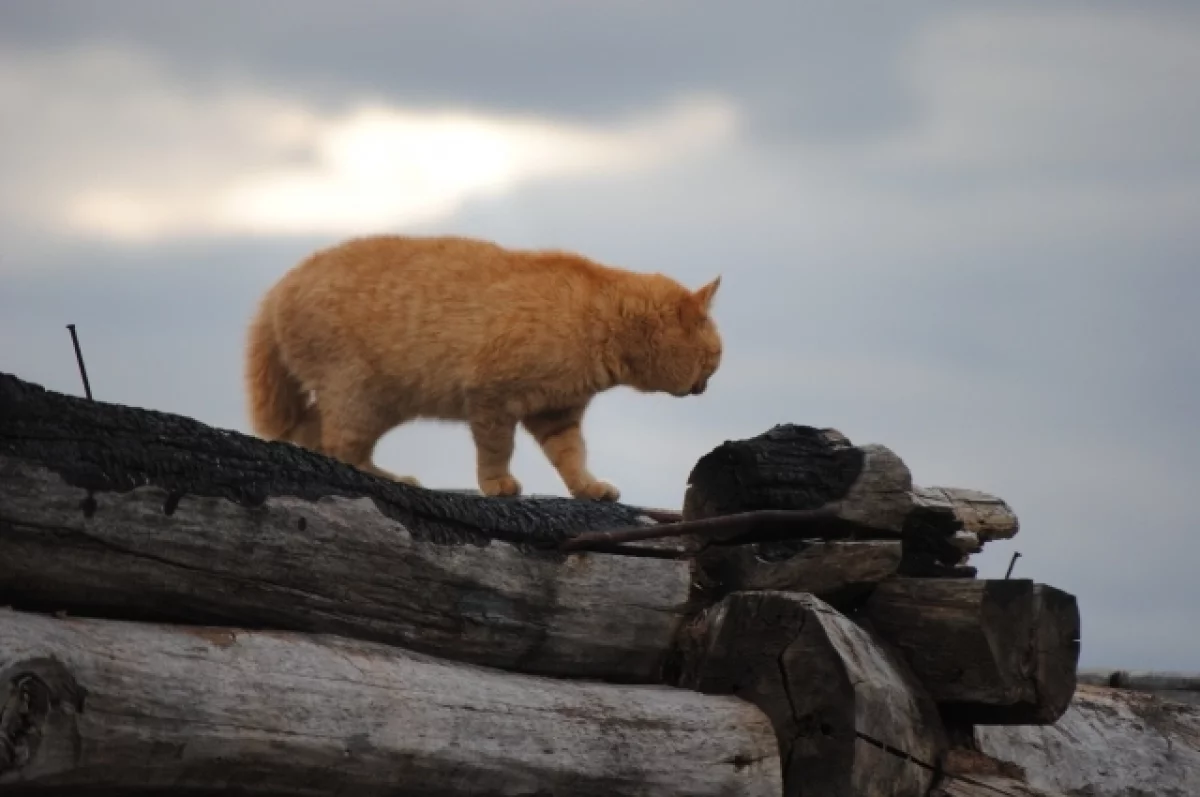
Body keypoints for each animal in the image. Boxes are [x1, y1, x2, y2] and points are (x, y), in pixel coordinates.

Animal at [238, 234, 715, 501]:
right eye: (713, 359)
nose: (707, 386)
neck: (597, 319)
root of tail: (279, 286)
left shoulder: (557, 412)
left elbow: (572, 457)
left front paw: (589, 488)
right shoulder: (491, 398)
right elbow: (495, 450)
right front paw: (497, 483)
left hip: (374, 402)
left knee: (312, 434)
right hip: (356, 394)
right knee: (340, 449)